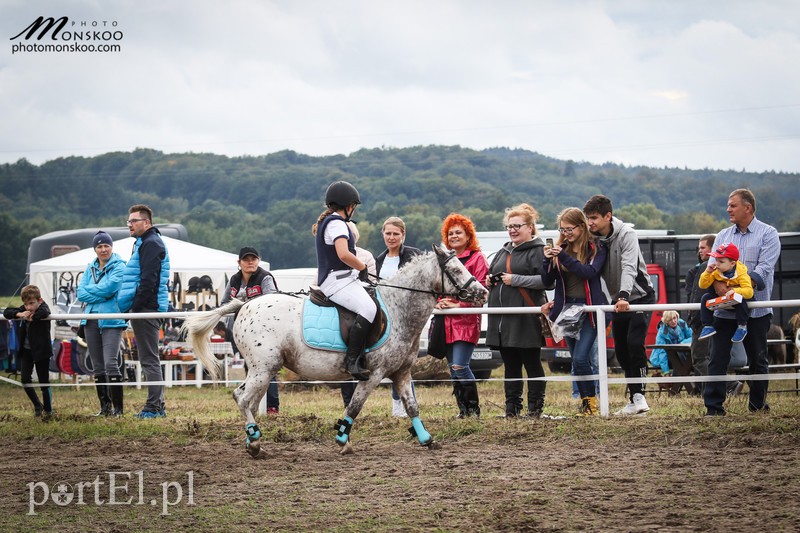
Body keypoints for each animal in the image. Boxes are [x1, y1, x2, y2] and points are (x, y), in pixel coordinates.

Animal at [183, 244, 488, 458]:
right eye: (457, 270)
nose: (483, 292)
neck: (398, 308)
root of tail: (244, 304)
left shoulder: (401, 372)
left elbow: (411, 404)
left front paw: (426, 439)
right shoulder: (373, 374)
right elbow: (355, 405)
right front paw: (343, 440)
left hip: (263, 370)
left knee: (243, 398)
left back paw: (253, 441)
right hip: (264, 368)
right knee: (245, 399)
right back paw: (255, 443)